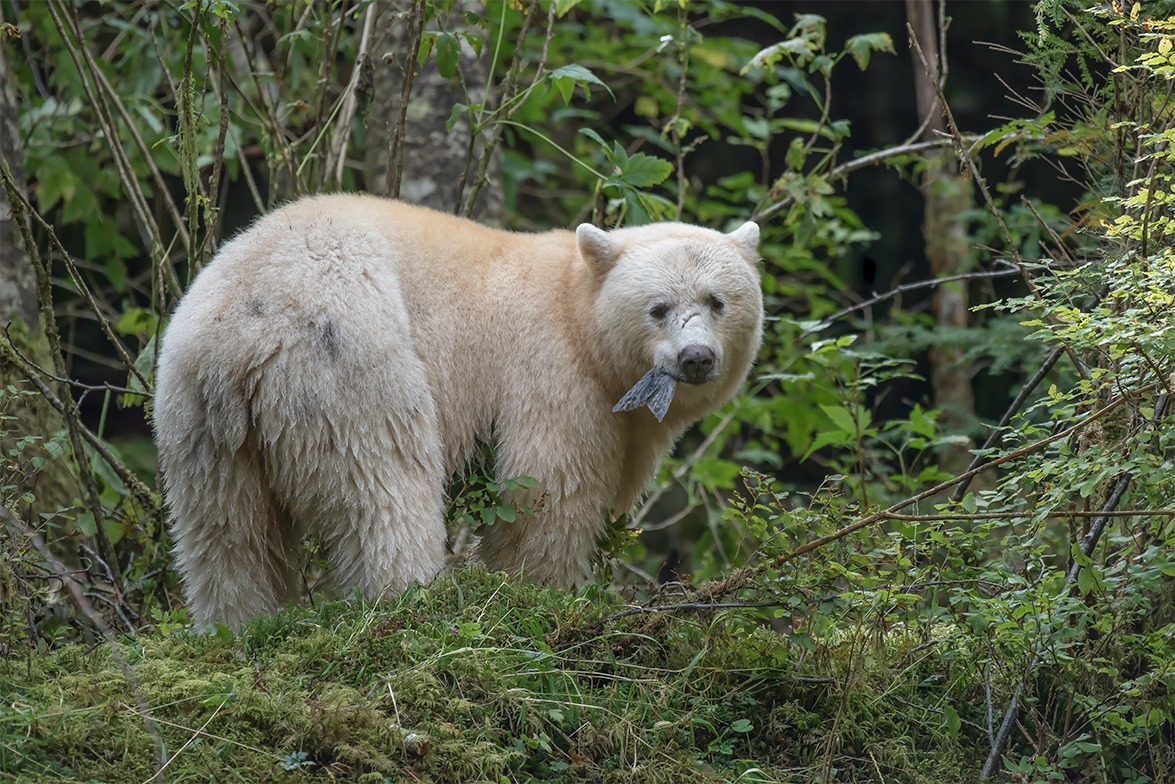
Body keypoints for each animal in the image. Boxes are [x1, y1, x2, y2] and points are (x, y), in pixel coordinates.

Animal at [153, 192, 761, 630]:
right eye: (658, 308)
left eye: (717, 301)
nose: (696, 358)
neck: (578, 307)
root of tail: (246, 328)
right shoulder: (551, 373)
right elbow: (546, 488)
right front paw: (542, 595)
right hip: (349, 362)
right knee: (383, 486)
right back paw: (413, 601)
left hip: (199, 419)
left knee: (228, 532)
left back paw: (238, 626)